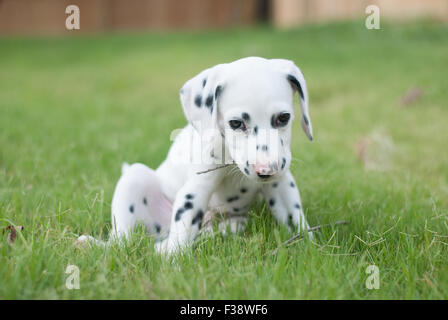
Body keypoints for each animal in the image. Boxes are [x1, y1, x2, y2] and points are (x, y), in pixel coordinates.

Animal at [77, 55, 314, 255]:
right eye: (236, 123)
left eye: (283, 118)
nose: (265, 170)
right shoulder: (196, 189)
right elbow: (184, 224)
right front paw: (172, 260)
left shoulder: (281, 183)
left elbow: (294, 217)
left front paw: (309, 245)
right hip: (135, 180)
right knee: (121, 240)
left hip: (236, 223)